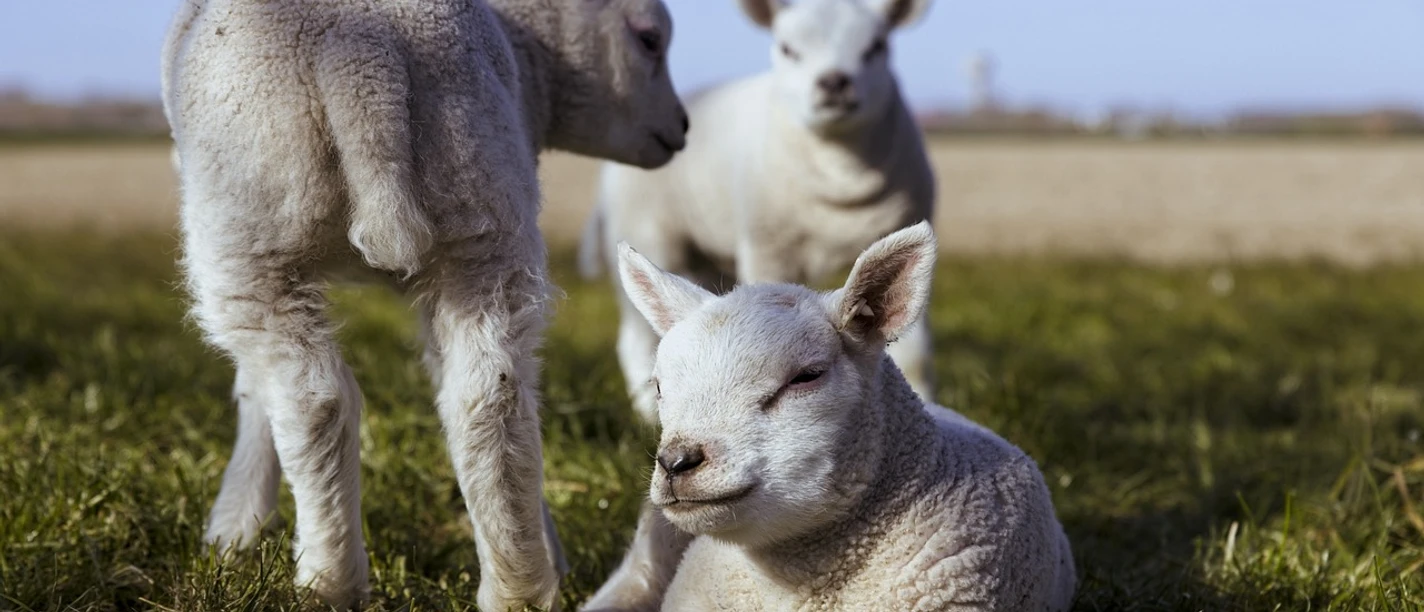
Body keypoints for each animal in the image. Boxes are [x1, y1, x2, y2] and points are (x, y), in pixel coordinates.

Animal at [160, 0, 689, 609]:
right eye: (650, 40)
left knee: (312, 400)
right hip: (482, 211)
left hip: (247, 230)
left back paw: (328, 578)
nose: (682, 127)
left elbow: (251, 392)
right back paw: (518, 584)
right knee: (488, 397)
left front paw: (234, 527)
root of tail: (363, 52)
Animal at [579, 0, 939, 426]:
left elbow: (915, 354)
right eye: (786, 49)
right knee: (636, 337)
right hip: (646, 227)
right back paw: (648, 414)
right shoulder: (768, 247)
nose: (834, 82)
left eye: (876, 47)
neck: (840, 175)